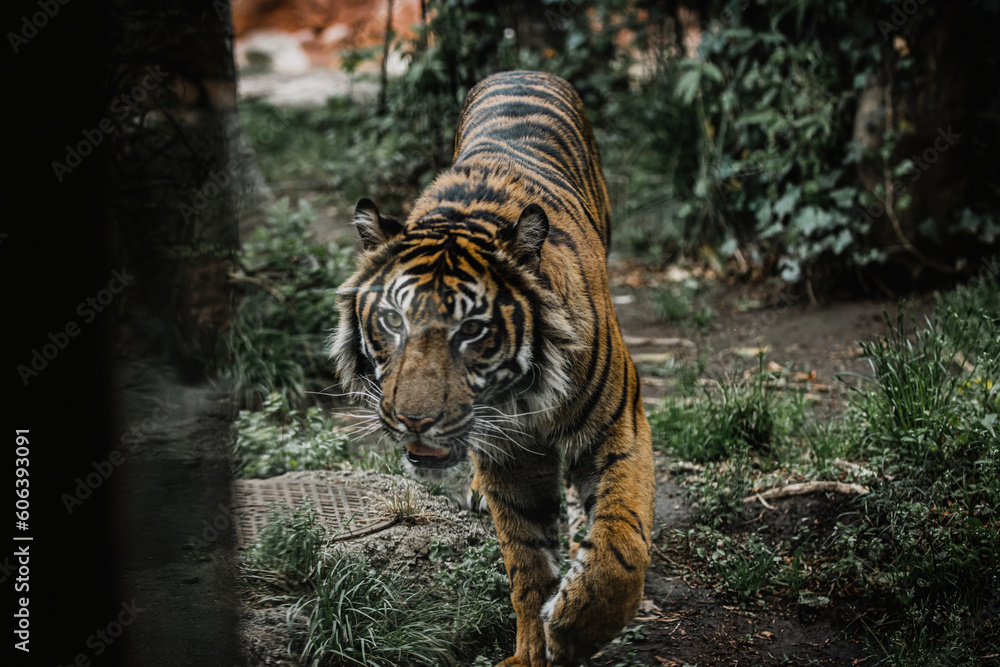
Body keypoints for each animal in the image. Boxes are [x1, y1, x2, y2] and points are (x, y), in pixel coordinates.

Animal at [330, 70, 656, 664]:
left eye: (472, 330)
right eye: (392, 320)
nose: (413, 421)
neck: (522, 397)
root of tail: (523, 69)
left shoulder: (618, 424)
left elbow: (621, 547)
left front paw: (572, 628)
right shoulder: (510, 456)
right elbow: (525, 561)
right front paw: (532, 649)